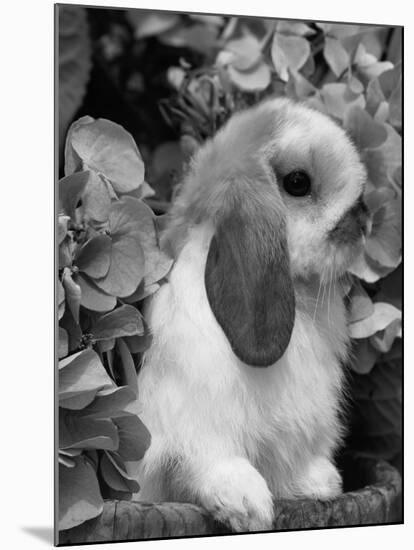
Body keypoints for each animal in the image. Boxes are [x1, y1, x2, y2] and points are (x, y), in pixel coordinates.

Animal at [136, 98, 368, 536]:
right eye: (297, 182)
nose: (363, 220)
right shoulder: (195, 429)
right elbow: (209, 464)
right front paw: (247, 506)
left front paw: (319, 483)